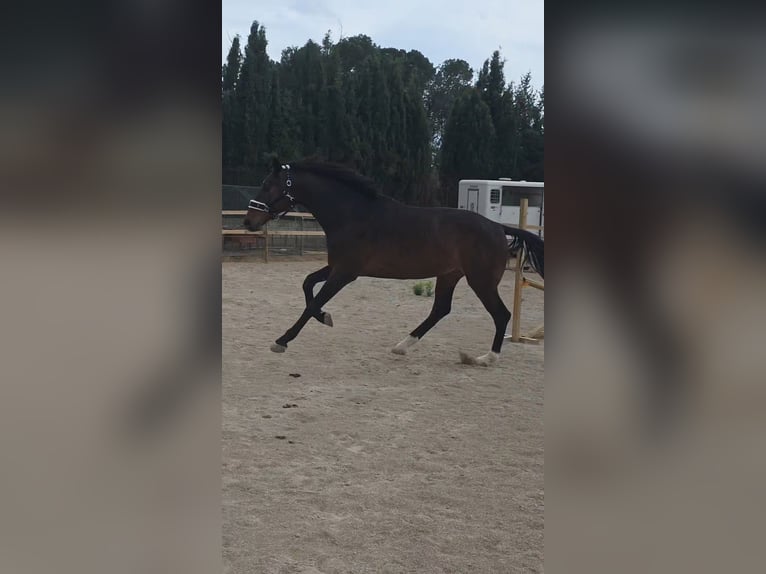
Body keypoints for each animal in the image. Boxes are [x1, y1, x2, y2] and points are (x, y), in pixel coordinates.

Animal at [243, 158, 544, 366]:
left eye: (268, 185)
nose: (248, 222)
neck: (353, 215)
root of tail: (498, 227)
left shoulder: (345, 272)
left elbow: (313, 301)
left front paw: (281, 341)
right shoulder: (337, 267)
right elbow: (307, 285)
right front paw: (325, 318)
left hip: (480, 281)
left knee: (500, 314)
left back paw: (486, 358)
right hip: (449, 275)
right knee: (440, 310)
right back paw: (402, 346)